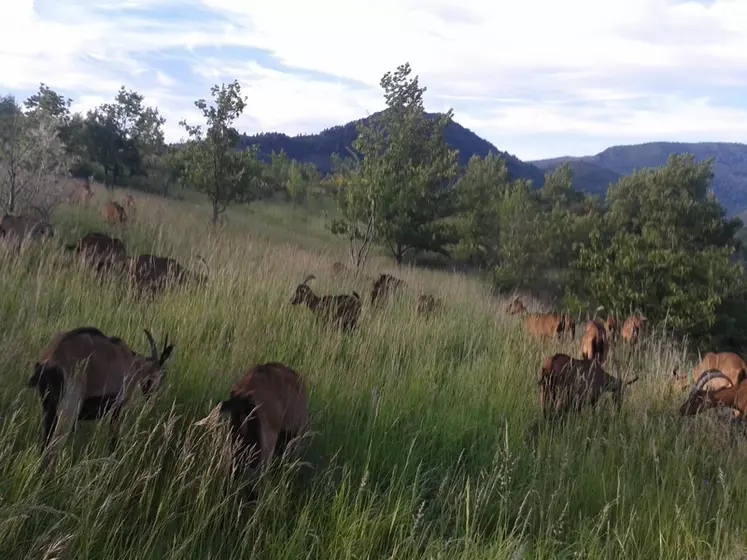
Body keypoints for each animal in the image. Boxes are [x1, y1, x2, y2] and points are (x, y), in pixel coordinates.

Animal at [28, 324, 174, 464]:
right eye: (162, 375)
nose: (152, 401)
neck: (131, 360)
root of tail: (50, 361)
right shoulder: (120, 407)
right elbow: (114, 440)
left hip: (49, 411)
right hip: (68, 411)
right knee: (53, 449)